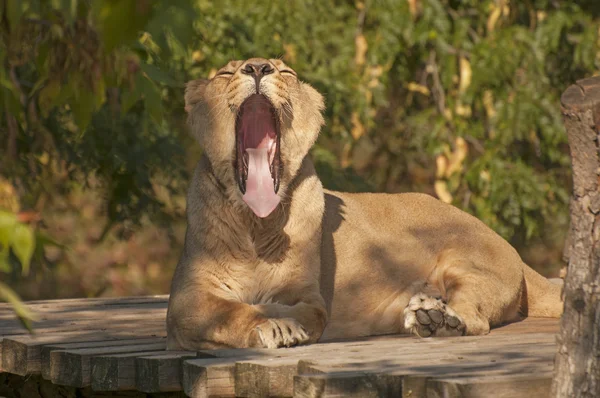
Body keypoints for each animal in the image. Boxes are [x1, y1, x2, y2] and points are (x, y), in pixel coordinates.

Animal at [168, 57, 564, 350]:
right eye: (226, 72)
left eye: (284, 71)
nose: (257, 68)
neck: (256, 222)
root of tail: (510, 248)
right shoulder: (185, 299)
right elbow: (229, 312)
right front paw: (272, 322)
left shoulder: (308, 295)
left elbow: (300, 309)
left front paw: (279, 316)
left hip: (470, 264)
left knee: (475, 316)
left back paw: (437, 319)